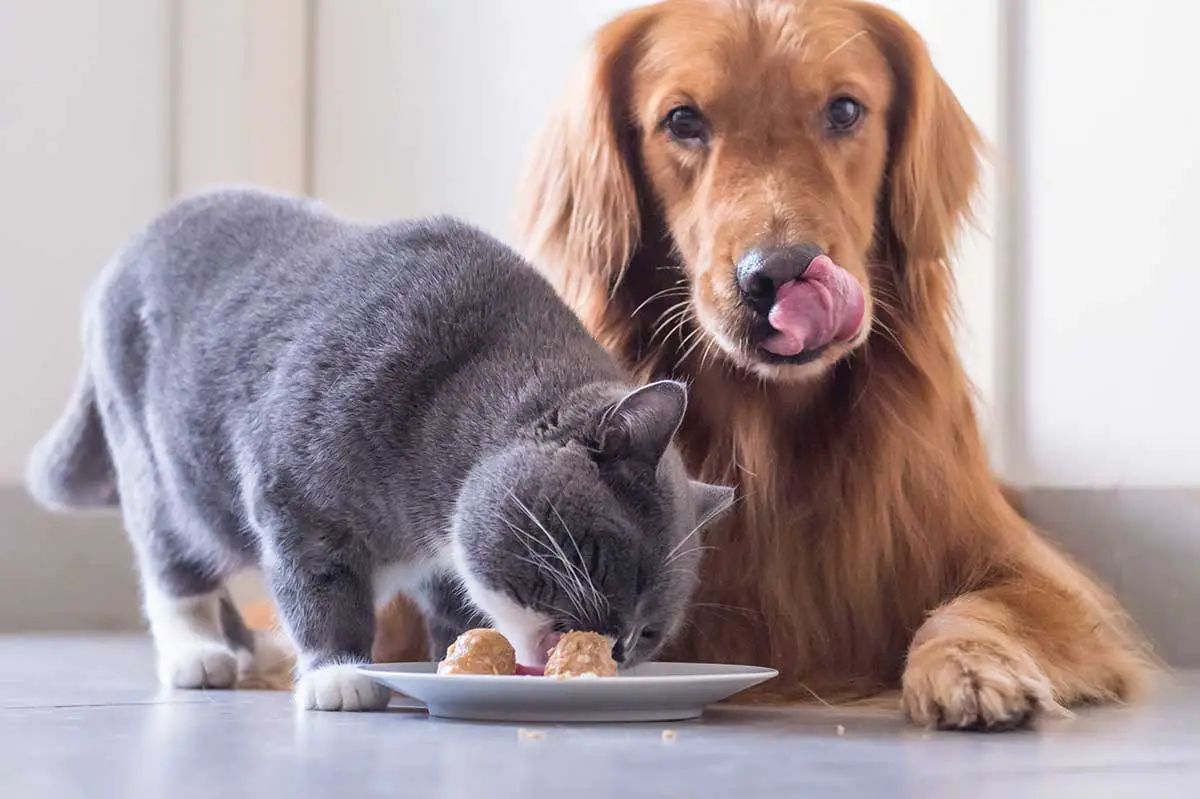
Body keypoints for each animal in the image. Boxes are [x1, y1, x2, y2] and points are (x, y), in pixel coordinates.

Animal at [28, 188, 734, 710]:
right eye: (617, 563)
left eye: (651, 632)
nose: (616, 647)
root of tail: (127, 254)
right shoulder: (296, 501)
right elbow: (318, 588)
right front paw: (340, 673)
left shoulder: (446, 566)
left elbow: (455, 610)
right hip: (163, 470)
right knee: (174, 566)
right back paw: (199, 655)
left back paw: (254, 649)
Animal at [496, 0, 1152, 724]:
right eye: (683, 121)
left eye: (844, 110)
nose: (781, 274)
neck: (772, 436)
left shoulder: (1034, 573)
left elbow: (982, 605)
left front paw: (970, 665)